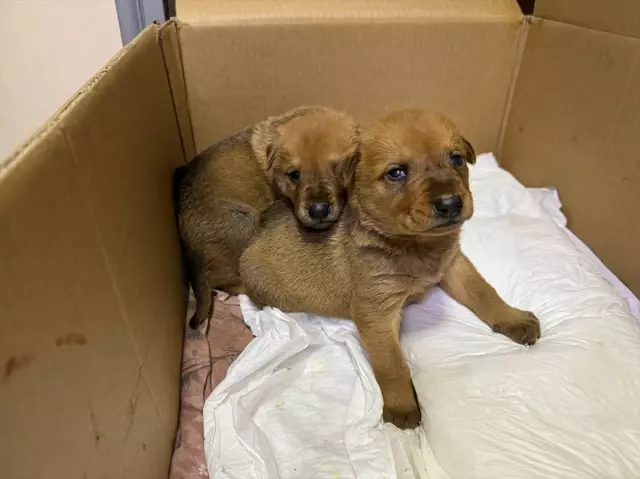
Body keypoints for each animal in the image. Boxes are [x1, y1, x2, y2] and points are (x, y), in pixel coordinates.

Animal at [239, 109, 540, 432]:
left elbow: (484, 291)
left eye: (456, 158)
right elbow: (392, 364)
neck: (418, 247)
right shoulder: (377, 312)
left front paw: (514, 319)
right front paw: (402, 407)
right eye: (396, 173)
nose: (450, 203)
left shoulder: (455, 264)